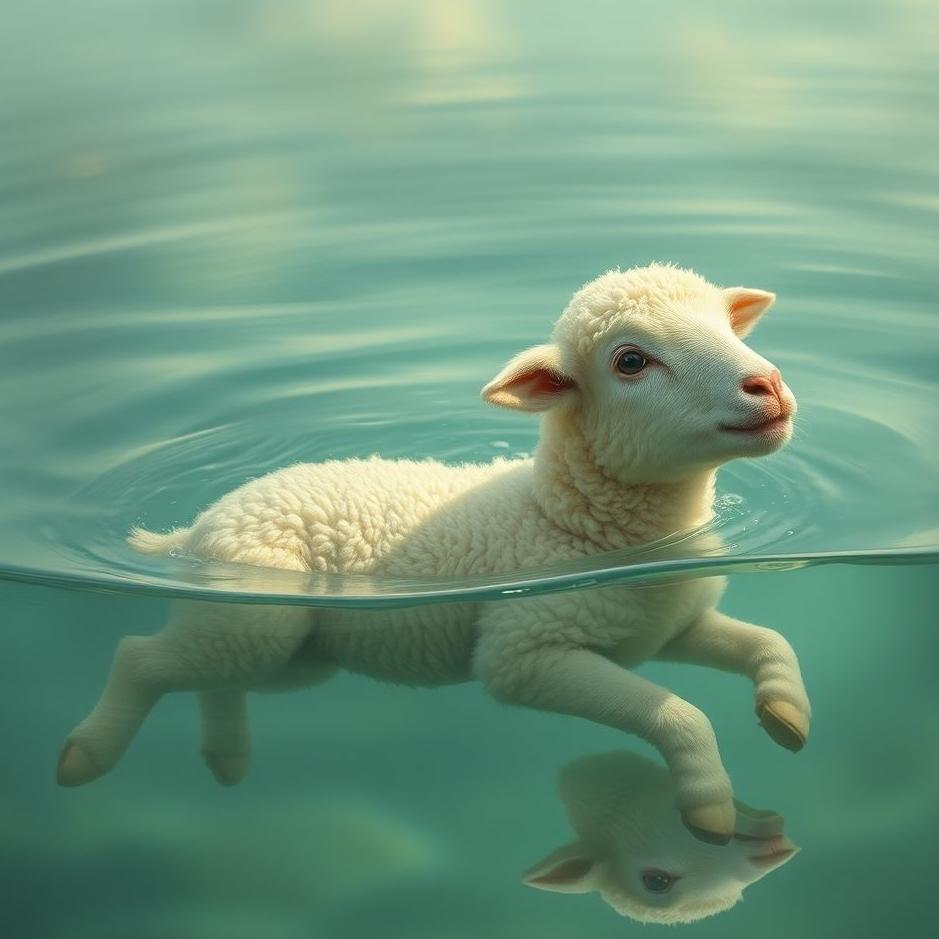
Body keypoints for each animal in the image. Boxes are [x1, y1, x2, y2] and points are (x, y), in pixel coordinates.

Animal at [57, 263, 810, 845]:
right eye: (631, 361)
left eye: (728, 328)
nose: (767, 385)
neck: (564, 518)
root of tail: (195, 529)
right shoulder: (525, 650)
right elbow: (679, 712)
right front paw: (709, 806)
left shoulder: (664, 628)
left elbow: (768, 641)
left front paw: (785, 714)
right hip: (259, 618)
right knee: (142, 658)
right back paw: (86, 754)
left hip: (291, 650)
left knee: (216, 675)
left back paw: (226, 755)